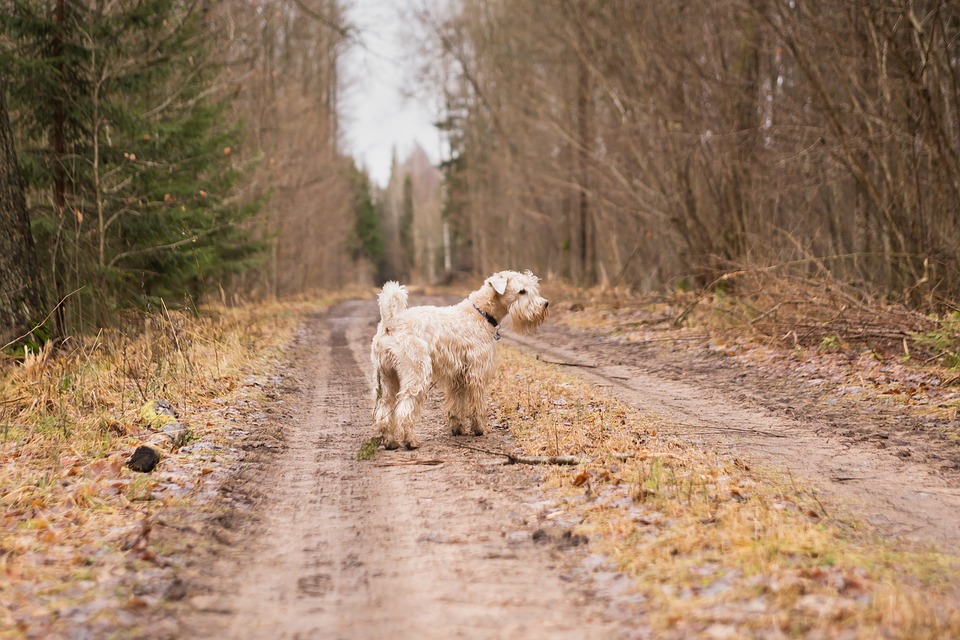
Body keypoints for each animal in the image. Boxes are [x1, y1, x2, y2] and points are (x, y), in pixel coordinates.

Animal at [370, 270, 548, 450]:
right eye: (522, 291)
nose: (545, 303)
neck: (481, 313)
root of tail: (392, 321)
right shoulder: (477, 373)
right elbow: (477, 404)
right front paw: (479, 429)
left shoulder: (458, 376)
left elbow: (457, 404)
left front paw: (458, 429)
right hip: (416, 374)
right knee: (405, 408)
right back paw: (410, 441)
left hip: (386, 378)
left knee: (384, 409)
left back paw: (390, 441)